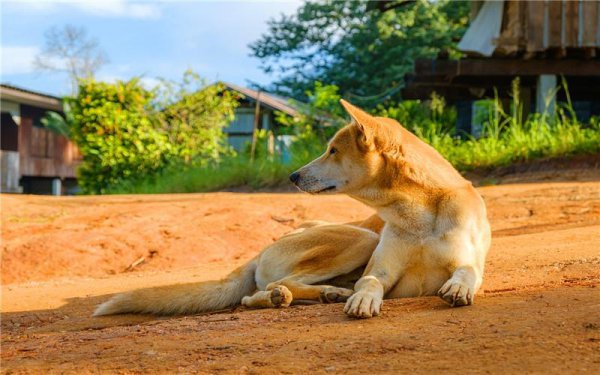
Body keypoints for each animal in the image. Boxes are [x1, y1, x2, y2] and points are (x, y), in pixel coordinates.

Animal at [290, 100, 492, 320]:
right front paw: (363, 298)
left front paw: (459, 287)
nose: (293, 176)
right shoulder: (380, 271)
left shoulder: (465, 260)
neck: (420, 221)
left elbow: (468, 270)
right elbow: (370, 282)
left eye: (333, 150)